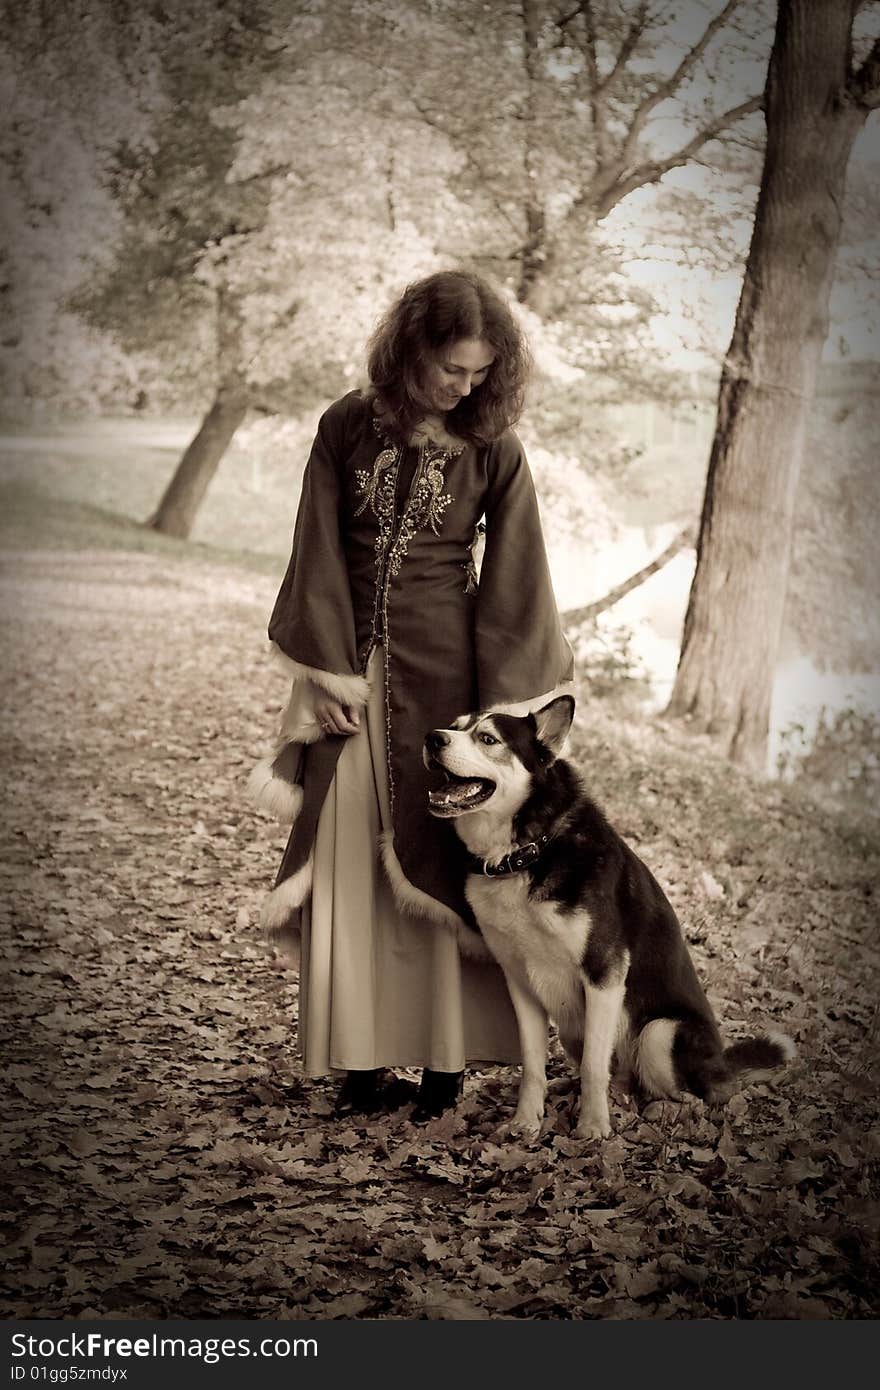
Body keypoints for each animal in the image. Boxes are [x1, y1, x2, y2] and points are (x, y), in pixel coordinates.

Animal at [422, 695, 795, 1139]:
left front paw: (593, 1127)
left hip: (659, 1033)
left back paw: (663, 1111)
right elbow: (533, 1066)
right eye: (454, 725)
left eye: (488, 738)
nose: (432, 737)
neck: (527, 852)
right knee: (624, 1082)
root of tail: (722, 1065)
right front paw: (526, 1121)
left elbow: (593, 1068)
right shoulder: (520, 981)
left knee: (691, 1095)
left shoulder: (604, 973)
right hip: (576, 1031)